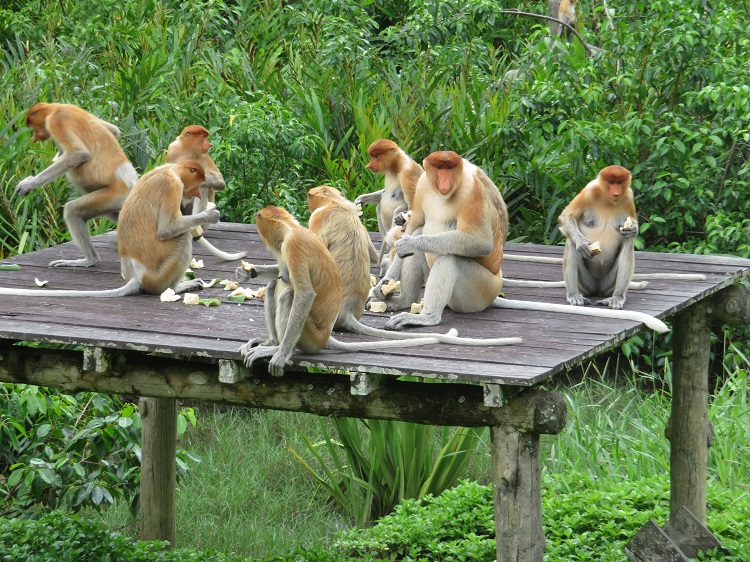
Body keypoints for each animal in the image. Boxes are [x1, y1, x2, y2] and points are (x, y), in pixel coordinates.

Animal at [0, 161, 219, 297]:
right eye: (198, 182)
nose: (197, 194)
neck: (171, 170)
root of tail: (137, 277)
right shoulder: (172, 186)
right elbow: (167, 229)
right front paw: (210, 215)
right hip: (159, 276)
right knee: (182, 238)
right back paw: (177, 287)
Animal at [14, 102, 138, 268]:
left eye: (34, 129)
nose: (35, 138)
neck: (56, 107)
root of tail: (131, 182)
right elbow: (114, 130)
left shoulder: (57, 120)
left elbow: (78, 154)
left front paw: (29, 184)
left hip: (113, 195)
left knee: (73, 211)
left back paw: (88, 260)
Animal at [165, 125, 245, 261]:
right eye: (203, 137)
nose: (210, 144)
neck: (188, 150)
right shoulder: (172, 150)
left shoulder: (203, 155)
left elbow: (219, 181)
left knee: (204, 188)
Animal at [355, 139, 423, 272]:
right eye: (372, 156)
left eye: (376, 156)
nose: (368, 166)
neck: (396, 166)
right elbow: (383, 193)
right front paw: (360, 200)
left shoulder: (407, 172)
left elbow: (413, 204)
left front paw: (403, 220)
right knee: (379, 207)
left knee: (399, 209)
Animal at [373, 152, 669, 333]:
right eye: (439, 168)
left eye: (450, 168)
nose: (444, 181)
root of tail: (494, 293)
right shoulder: (424, 184)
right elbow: (416, 224)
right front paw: (382, 286)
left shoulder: (471, 191)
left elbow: (478, 241)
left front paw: (409, 245)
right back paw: (403, 302)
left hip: (478, 290)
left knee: (449, 256)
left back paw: (426, 317)